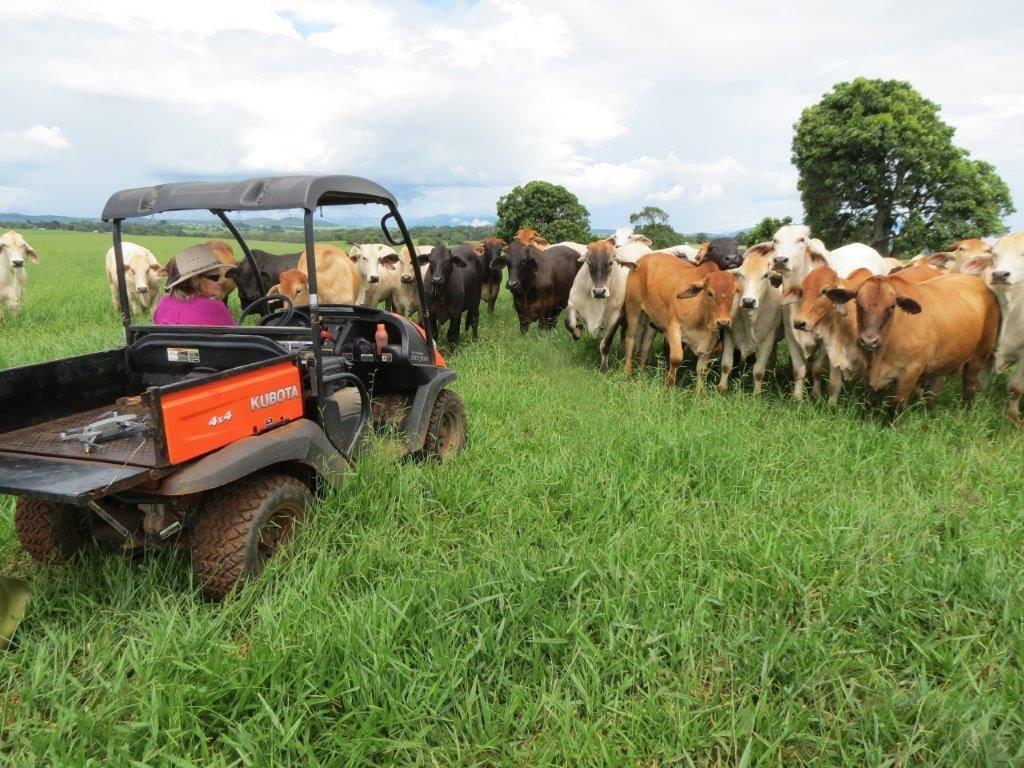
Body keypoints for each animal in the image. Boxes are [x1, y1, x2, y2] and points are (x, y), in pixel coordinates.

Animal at [614, 252, 737, 391]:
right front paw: (668, 386)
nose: (723, 322)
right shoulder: (674, 327)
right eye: (710, 293)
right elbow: (676, 358)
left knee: (646, 344)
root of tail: (643, 259)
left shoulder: (711, 340)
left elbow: (702, 369)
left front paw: (699, 393)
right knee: (630, 340)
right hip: (633, 308)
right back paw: (628, 371)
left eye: (734, 293)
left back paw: (641, 372)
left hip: (651, 319)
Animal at [770, 224, 888, 399]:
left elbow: (817, 368)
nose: (780, 260)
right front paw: (797, 398)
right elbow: (798, 370)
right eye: (775, 240)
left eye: (802, 240)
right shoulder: (790, 335)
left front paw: (815, 394)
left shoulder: (826, 340)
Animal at [823, 270, 999, 415]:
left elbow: (897, 406)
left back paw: (966, 412)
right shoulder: (869, 373)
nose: (869, 341)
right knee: (935, 388)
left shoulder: (910, 372)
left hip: (979, 356)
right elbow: (870, 403)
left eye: (891, 307)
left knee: (969, 386)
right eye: (858, 304)